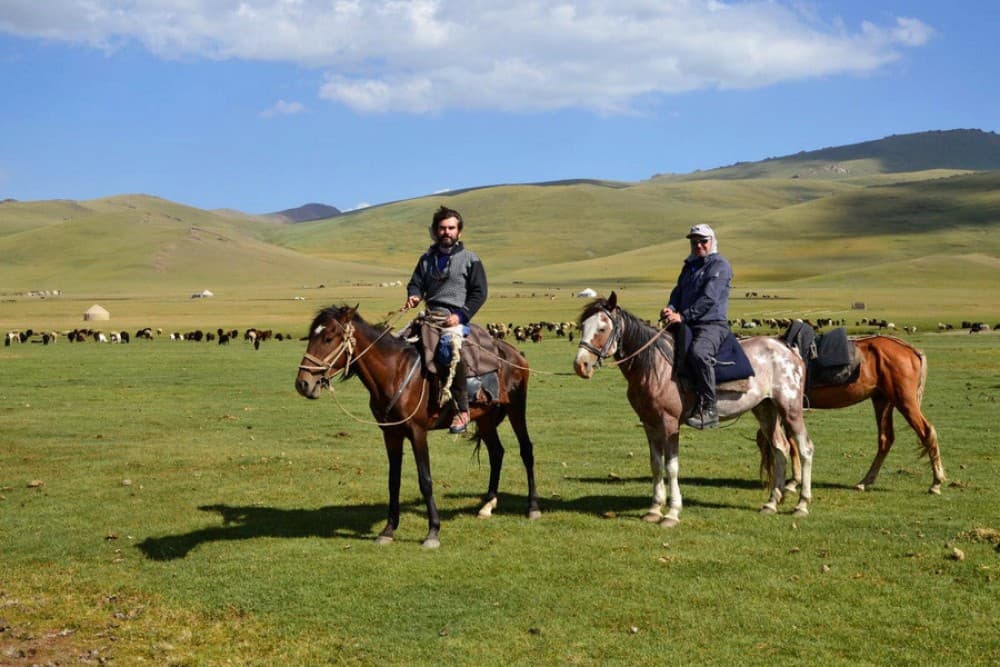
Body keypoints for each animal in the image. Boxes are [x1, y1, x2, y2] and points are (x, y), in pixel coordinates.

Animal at [295, 305, 541, 548]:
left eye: (328, 338)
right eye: (310, 337)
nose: (303, 383)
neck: (394, 373)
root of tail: (514, 353)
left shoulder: (417, 432)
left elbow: (426, 480)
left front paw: (433, 531)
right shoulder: (391, 433)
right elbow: (393, 480)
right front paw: (388, 530)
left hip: (516, 408)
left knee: (526, 450)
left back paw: (533, 508)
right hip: (486, 418)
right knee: (496, 452)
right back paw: (487, 506)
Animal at [573, 292, 815, 526]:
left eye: (602, 328)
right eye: (582, 326)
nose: (580, 365)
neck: (655, 367)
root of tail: (788, 348)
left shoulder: (670, 423)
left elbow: (671, 467)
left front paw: (671, 513)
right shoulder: (650, 424)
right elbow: (656, 465)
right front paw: (654, 510)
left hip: (790, 408)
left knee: (805, 448)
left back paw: (802, 505)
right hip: (766, 409)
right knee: (780, 448)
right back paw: (771, 503)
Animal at [759, 335, 945, 495]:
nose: (765, 479)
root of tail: (910, 350)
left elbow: (789, 441)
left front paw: (793, 481)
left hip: (904, 401)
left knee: (927, 432)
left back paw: (936, 483)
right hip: (882, 401)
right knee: (886, 439)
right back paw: (865, 481)